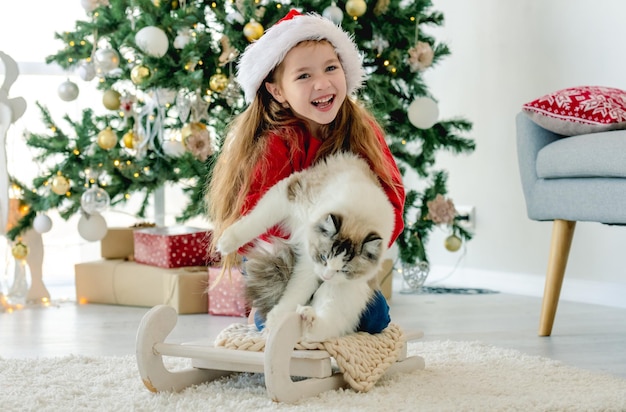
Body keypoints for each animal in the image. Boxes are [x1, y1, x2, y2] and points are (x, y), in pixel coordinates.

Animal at [214, 151, 390, 342]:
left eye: (344, 270)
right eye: (323, 257)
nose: (325, 277)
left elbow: (294, 294)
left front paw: (275, 322)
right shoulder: (289, 195)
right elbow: (255, 222)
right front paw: (225, 242)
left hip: (342, 290)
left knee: (327, 324)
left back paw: (308, 320)